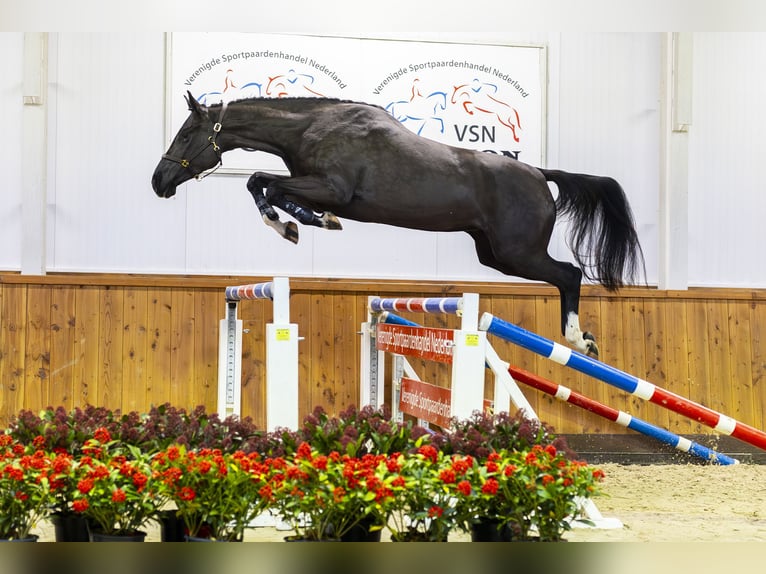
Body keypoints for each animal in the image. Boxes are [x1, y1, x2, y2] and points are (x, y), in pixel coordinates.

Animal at [153, 92, 644, 358]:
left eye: (185, 135)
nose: (159, 182)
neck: (311, 127)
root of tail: (541, 175)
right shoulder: (318, 187)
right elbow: (265, 186)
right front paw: (305, 223)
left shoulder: (333, 188)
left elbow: (266, 185)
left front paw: (300, 224)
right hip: (497, 256)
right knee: (563, 275)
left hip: (517, 252)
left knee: (570, 274)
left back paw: (580, 340)